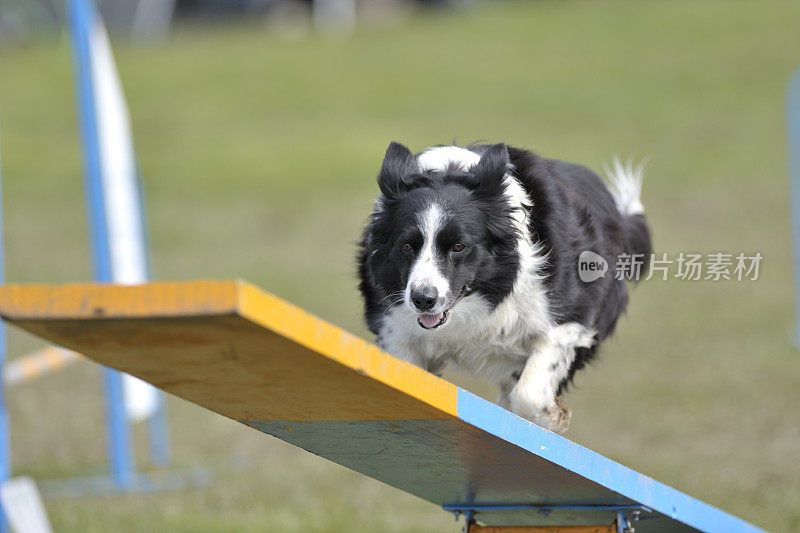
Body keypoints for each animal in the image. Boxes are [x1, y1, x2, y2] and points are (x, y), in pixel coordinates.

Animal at [358, 142, 648, 432]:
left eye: (459, 246)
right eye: (406, 246)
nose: (422, 300)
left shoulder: (571, 315)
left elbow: (529, 394)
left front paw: (554, 416)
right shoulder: (393, 326)